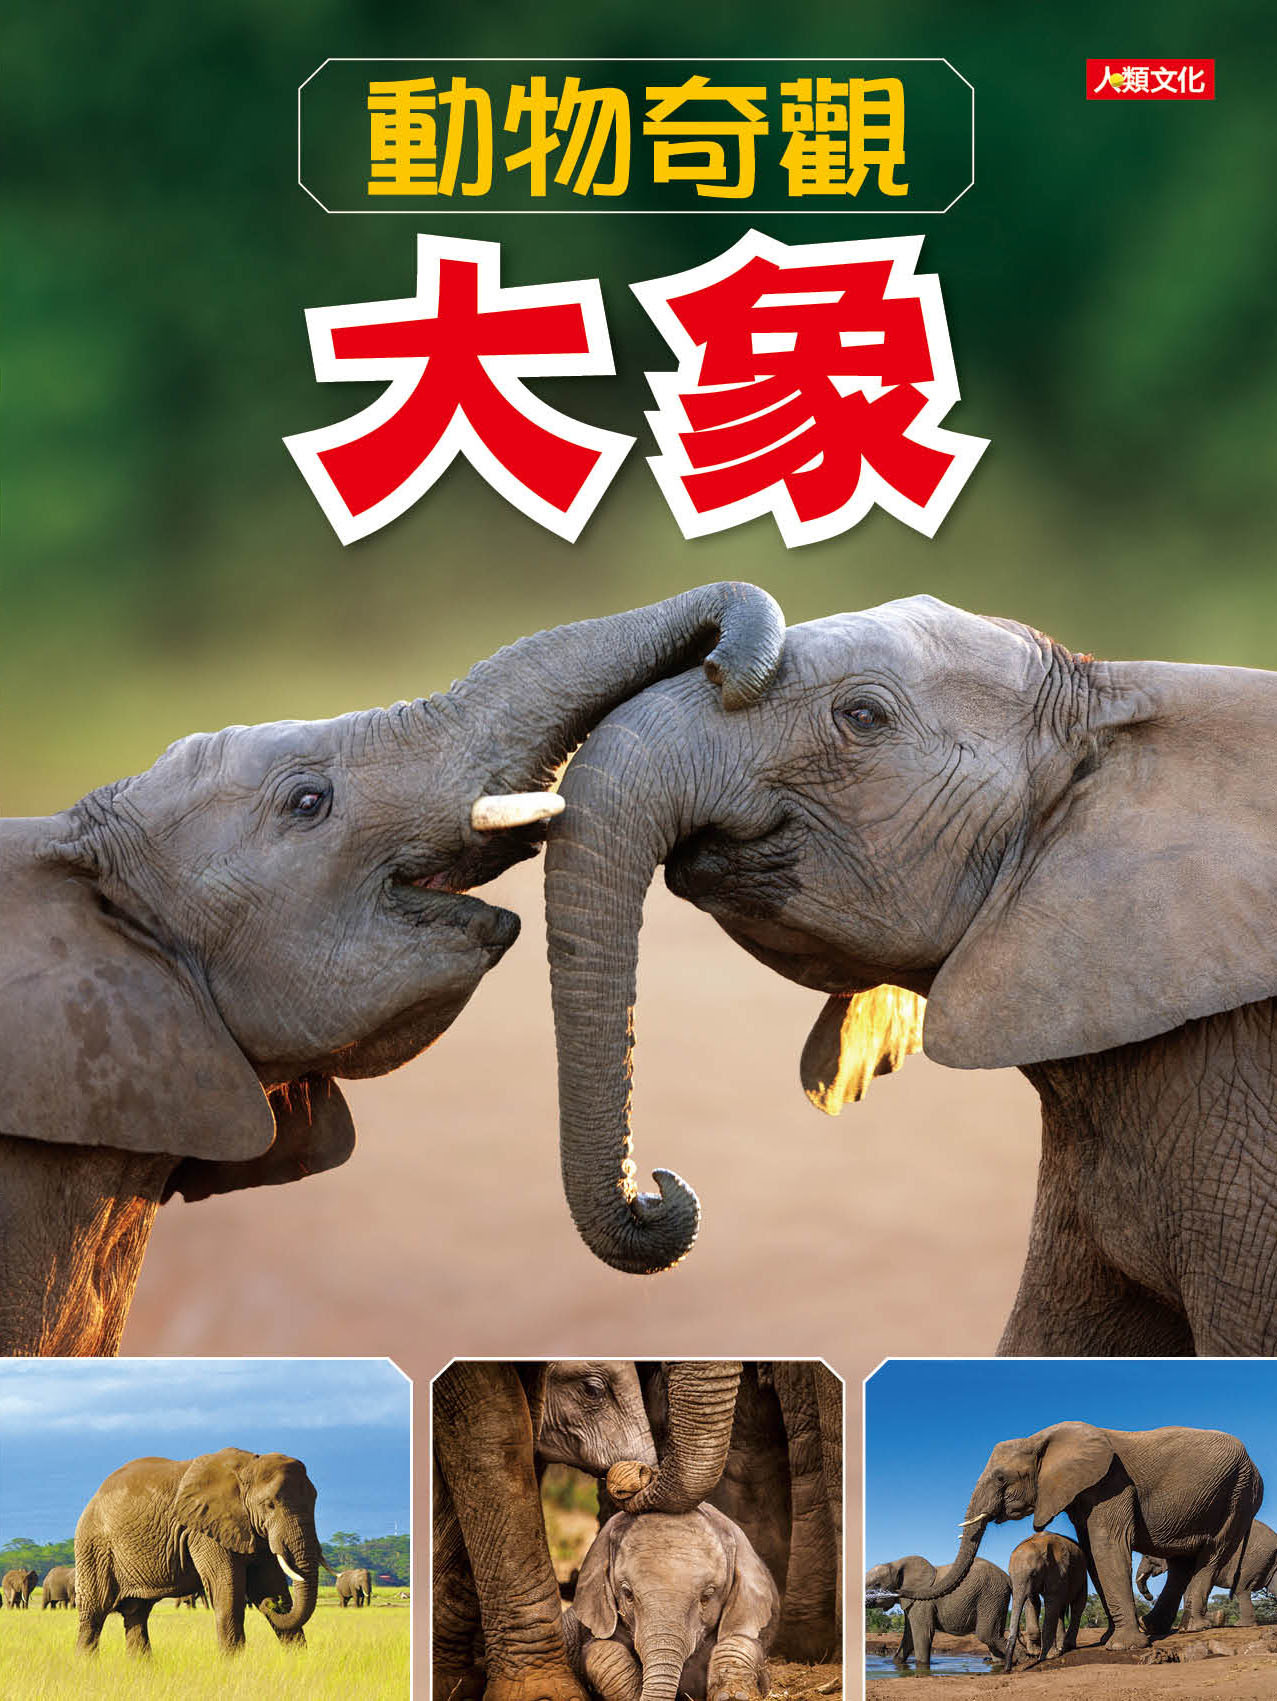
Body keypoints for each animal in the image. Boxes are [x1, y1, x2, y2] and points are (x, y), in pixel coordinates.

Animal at [74, 1446, 330, 1654]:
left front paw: (298, 1659)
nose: (271, 1605)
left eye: (315, 1501)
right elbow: (228, 1592)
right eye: (270, 1505)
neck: (247, 1466)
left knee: (137, 1613)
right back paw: (86, 1665)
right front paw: (233, 1664)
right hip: (94, 1548)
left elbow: (269, 1584)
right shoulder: (203, 1530)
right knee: (94, 1613)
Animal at [863, 1555, 1010, 1672]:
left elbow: (922, 1635)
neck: (895, 1563)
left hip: (991, 1595)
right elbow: (909, 1636)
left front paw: (922, 1668)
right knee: (993, 1636)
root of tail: (1008, 1578)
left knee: (987, 1635)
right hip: (997, 1599)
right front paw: (894, 1663)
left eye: (877, 1584)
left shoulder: (922, 1602)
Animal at [900, 1421, 1261, 1651]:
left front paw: (1122, 1647)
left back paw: (1191, 1628)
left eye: (1001, 1478)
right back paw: (1155, 1627)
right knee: (1182, 1562)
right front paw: (1111, 1641)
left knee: (1211, 1554)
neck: (1040, 1438)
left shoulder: (1111, 1482)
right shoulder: (1078, 1491)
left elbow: (1106, 1547)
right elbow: (1091, 1551)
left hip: (1239, 1495)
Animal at [1004, 1531, 1088, 1671]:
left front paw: (1048, 1656)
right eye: (1010, 1575)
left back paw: (1068, 1646)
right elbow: (1033, 1602)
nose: (1007, 1669)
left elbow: (1051, 1603)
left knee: (1077, 1605)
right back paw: (1060, 1648)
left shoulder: (1057, 1571)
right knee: (1060, 1610)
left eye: (1033, 1574)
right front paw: (1035, 1652)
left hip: (1082, 1573)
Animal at [1138, 1516, 1277, 1627]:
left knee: (1241, 1589)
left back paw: (1242, 1625)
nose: (1150, 1597)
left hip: (1254, 1559)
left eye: (1147, 1556)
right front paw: (1214, 1619)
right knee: (1273, 1587)